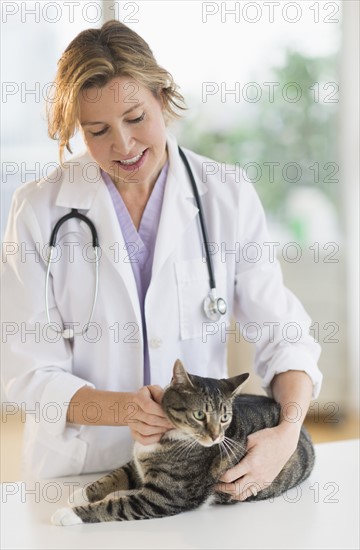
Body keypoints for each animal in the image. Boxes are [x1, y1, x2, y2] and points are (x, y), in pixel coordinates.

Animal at [52, 360, 314, 528]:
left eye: (224, 418)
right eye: (199, 415)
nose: (216, 437)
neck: (169, 437)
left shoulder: (163, 497)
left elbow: (114, 506)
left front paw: (68, 514)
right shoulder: (135, 465)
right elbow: (112, 477)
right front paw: (81, 494)